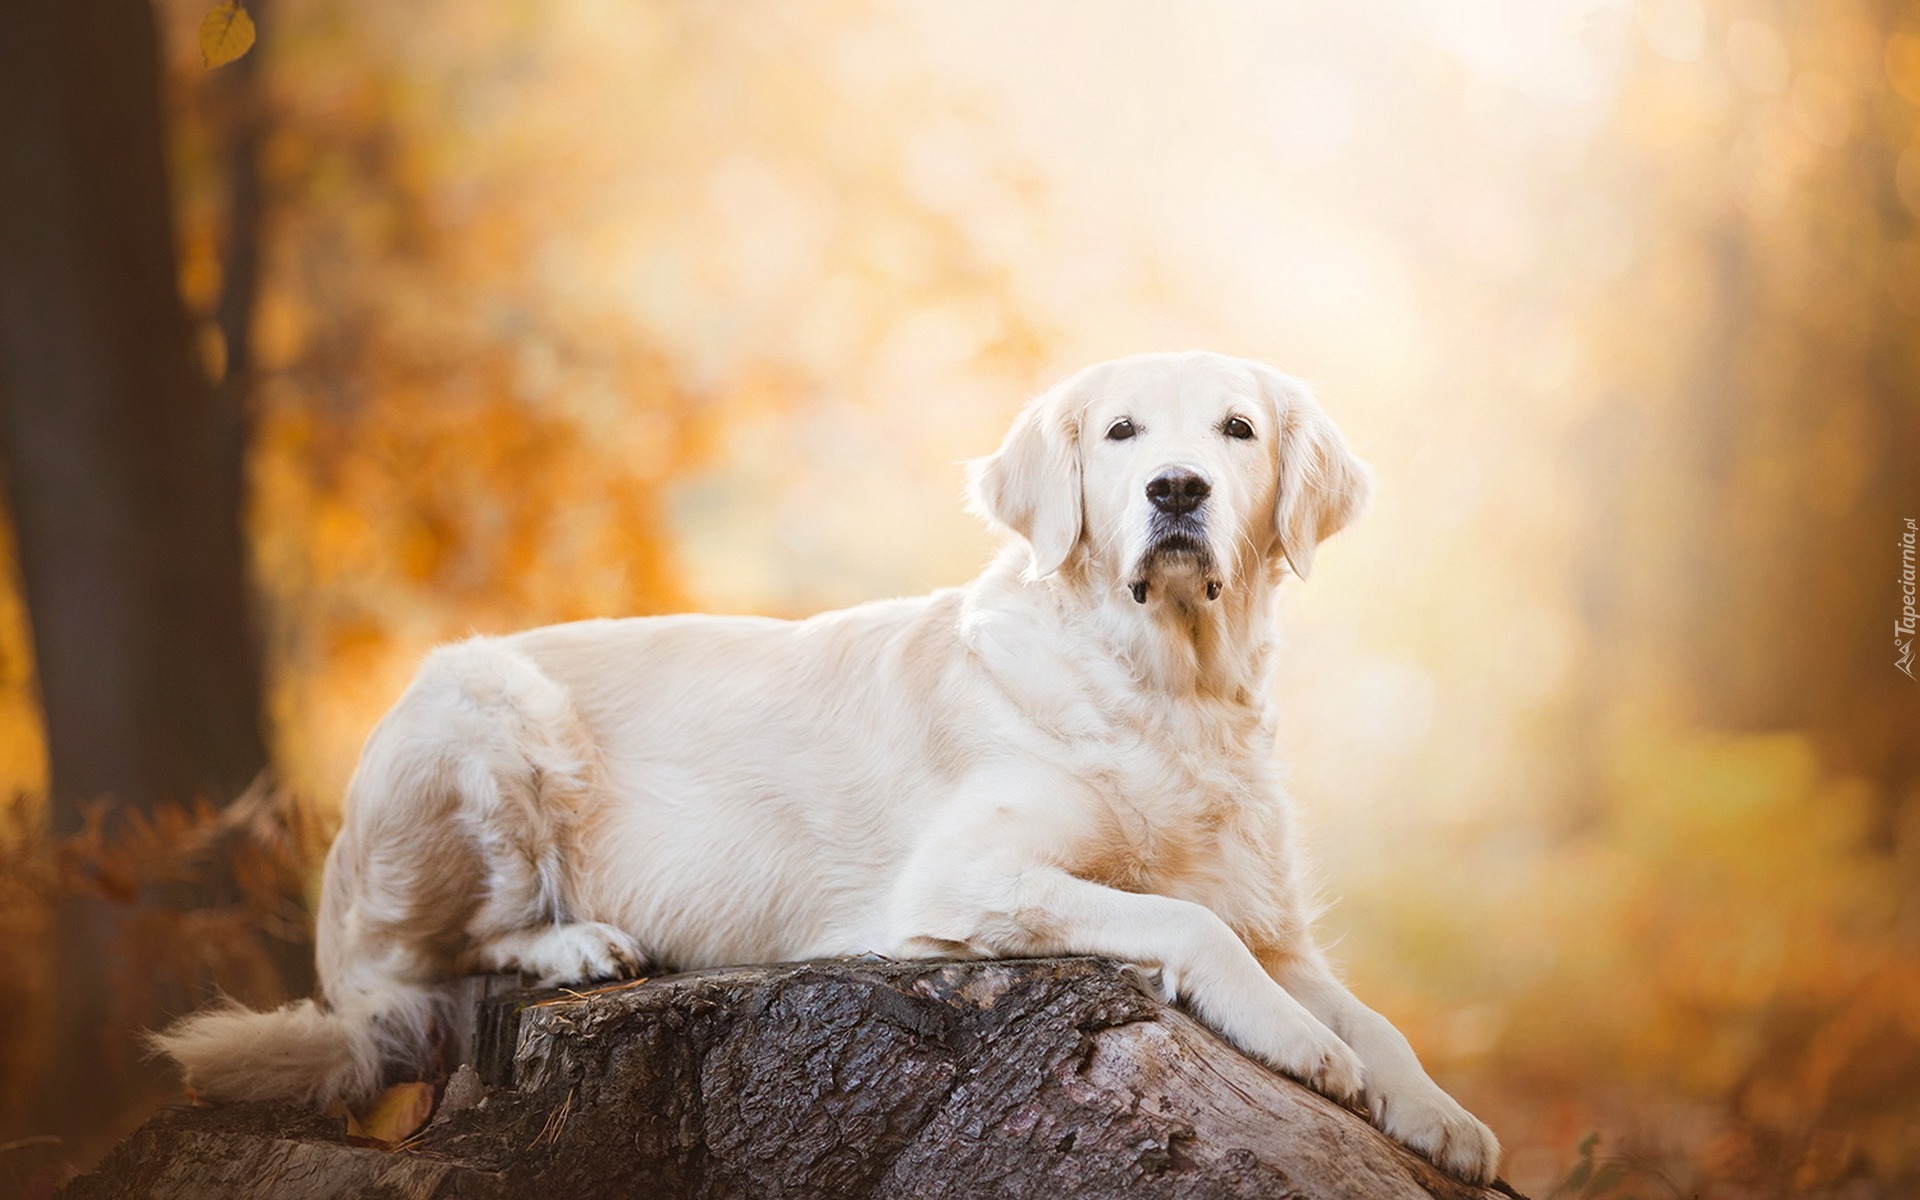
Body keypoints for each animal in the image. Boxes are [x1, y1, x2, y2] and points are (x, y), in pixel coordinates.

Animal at [161, 351, 1497, 1182]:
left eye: (1237, 429)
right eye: (1123, 433)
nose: (1178, 490)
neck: (1165, 685)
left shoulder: (1276, 919)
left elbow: (1372, 1013)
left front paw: (1441, 1117)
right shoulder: (967, 878)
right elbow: (1187, 926)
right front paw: (1299, 1046)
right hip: (482, 705)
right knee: (433, 960)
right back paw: (578, 944)